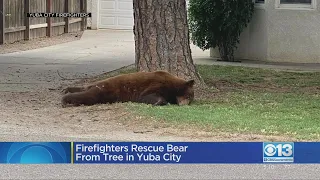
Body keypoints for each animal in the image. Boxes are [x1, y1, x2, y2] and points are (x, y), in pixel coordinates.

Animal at [60, 70, 195, 107]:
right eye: (189, 96)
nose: (185, 104)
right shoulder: (157, 83)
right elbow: (148, 95)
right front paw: (158, 102)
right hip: (106, 89)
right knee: (90, 95)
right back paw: (66, 99)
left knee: (86, 88)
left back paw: (68, 89)